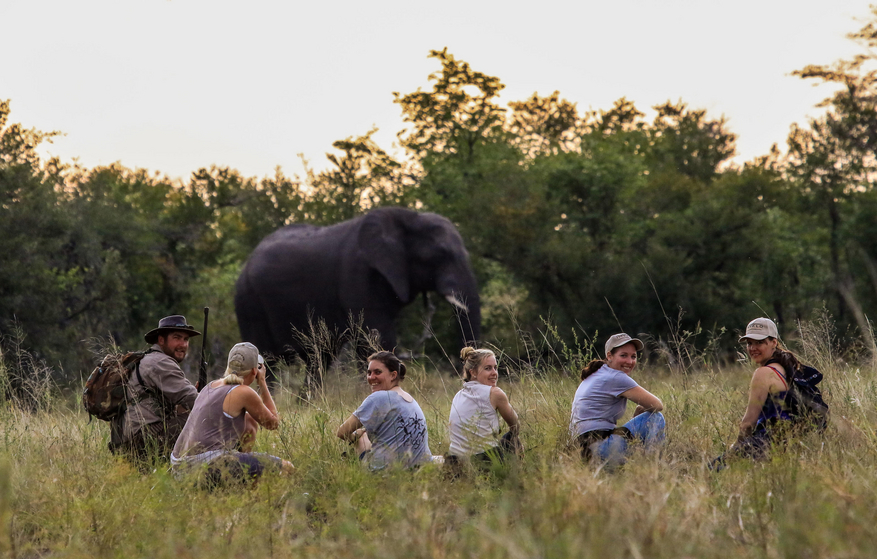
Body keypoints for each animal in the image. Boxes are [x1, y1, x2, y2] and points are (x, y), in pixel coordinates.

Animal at [233, 206, 480, 390]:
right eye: (440, 255)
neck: (407, 219)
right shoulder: (359, 275)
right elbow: (376, 338)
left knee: (319, 359)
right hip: (248, 302)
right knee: (267, 360)